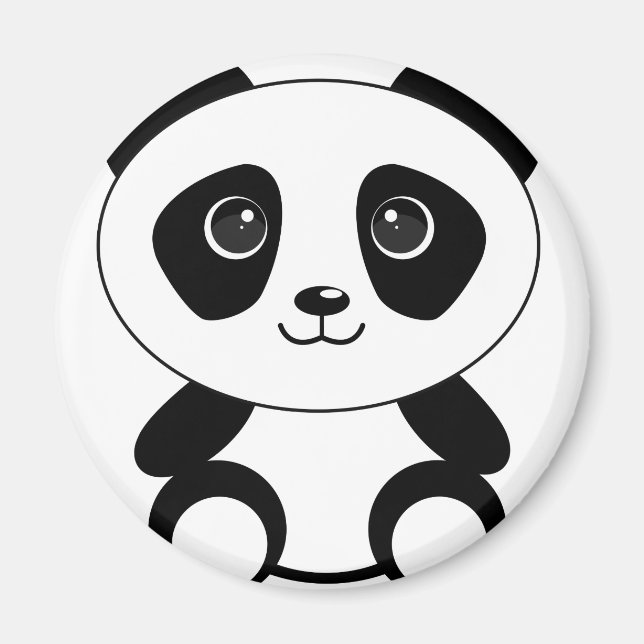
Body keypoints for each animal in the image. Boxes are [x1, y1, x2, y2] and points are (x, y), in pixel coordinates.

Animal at [95, 57, 544, 586]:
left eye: (401, 225)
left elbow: (485, 444)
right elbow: (161, 446)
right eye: (237, 225)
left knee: (440, 495)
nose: (322, 298)